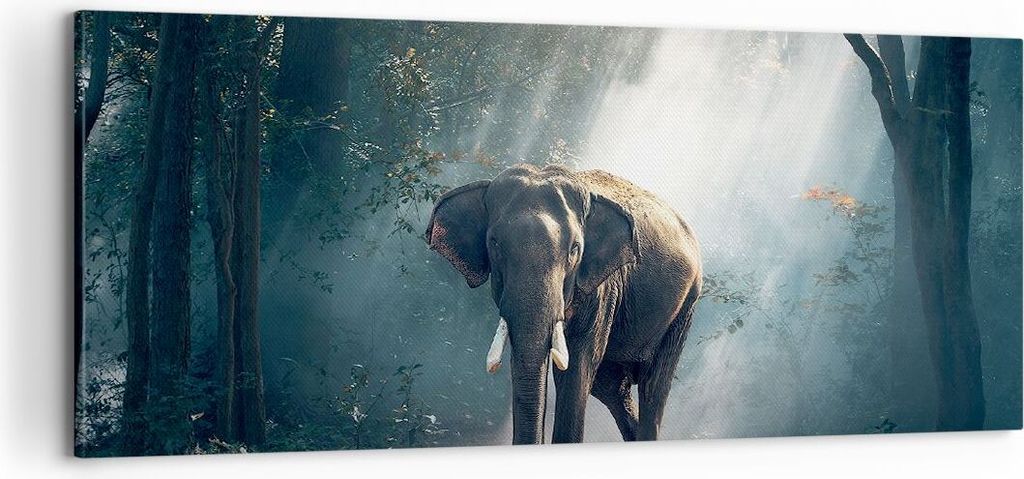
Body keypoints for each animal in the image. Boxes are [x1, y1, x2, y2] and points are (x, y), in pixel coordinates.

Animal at [425, 164, 702, 444]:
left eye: (575, 249)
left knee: (653, 387)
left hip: (685, 307)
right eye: (494, 244)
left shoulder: (601, 288)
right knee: (611, 387)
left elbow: (576, 366)